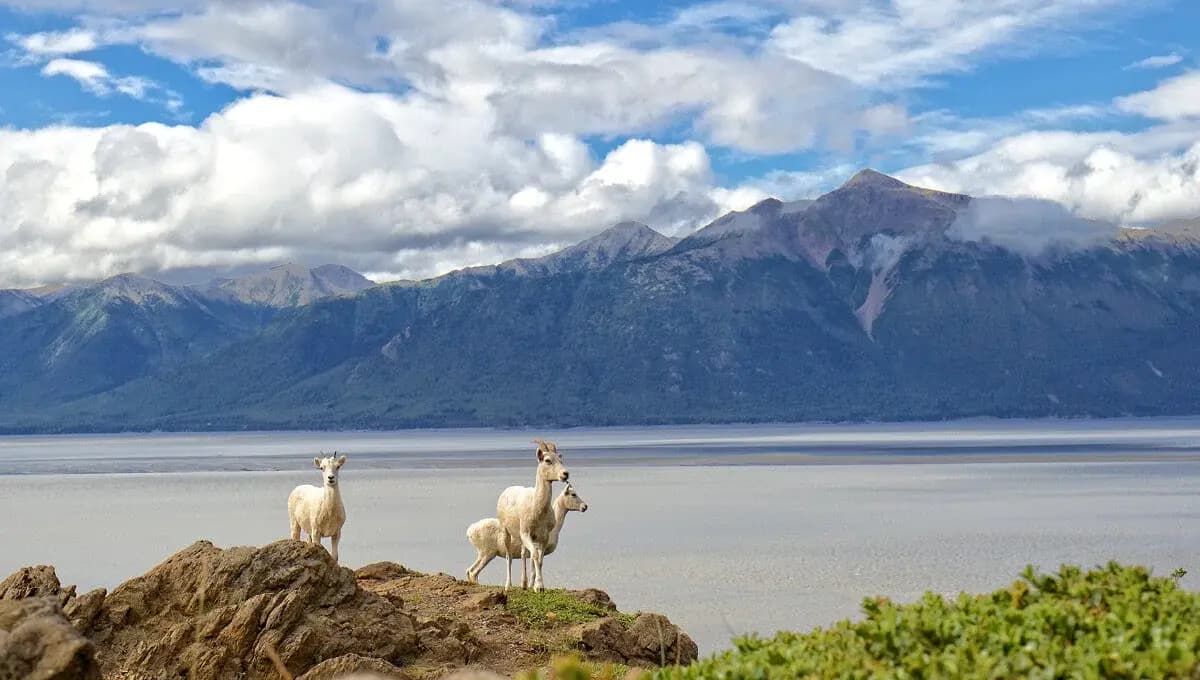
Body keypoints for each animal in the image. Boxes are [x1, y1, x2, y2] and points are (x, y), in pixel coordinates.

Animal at [495, 439, 570, 591]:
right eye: (547, 460)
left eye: (561, 460)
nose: (565, 474)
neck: (537, 509)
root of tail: (506, 491)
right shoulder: (527, 533)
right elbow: (534, 555)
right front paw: (538, 587)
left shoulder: (543, 537)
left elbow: (539, 560)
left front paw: (538, 585)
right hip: (506, 532)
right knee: (509, 557)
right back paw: (508, 586)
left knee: (523, 554)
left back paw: (523, 584)